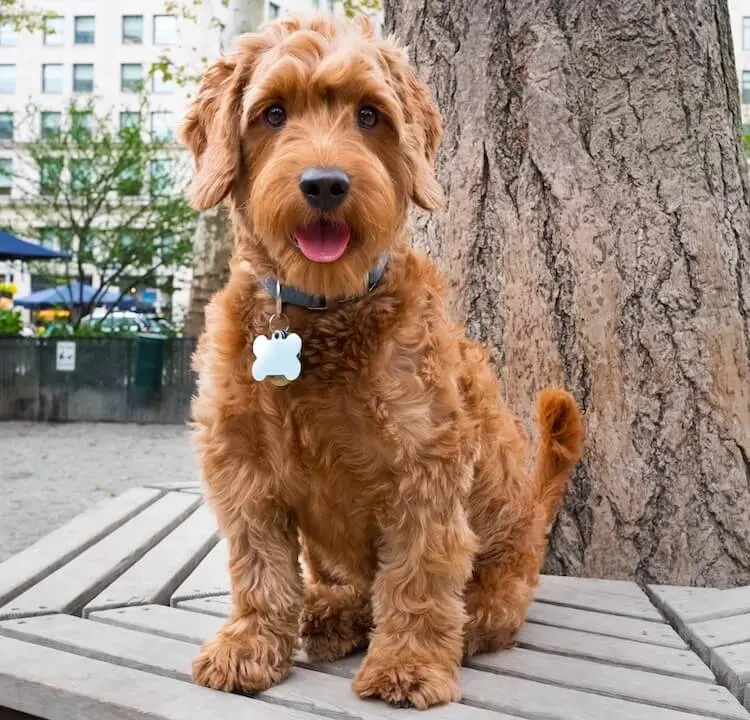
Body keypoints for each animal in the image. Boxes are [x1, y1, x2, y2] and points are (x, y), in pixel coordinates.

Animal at [182, 11, 588, 708]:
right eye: (272, 113)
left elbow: (418, 576)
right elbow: (259, 567)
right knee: (340, 586)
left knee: (472, 610)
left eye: (369, 115)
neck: (320, 316)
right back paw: (330, 613)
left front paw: (409, 664)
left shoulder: (425, 465)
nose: (325, 183)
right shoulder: (241, 466)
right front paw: (250, 645)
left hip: (500, 577)